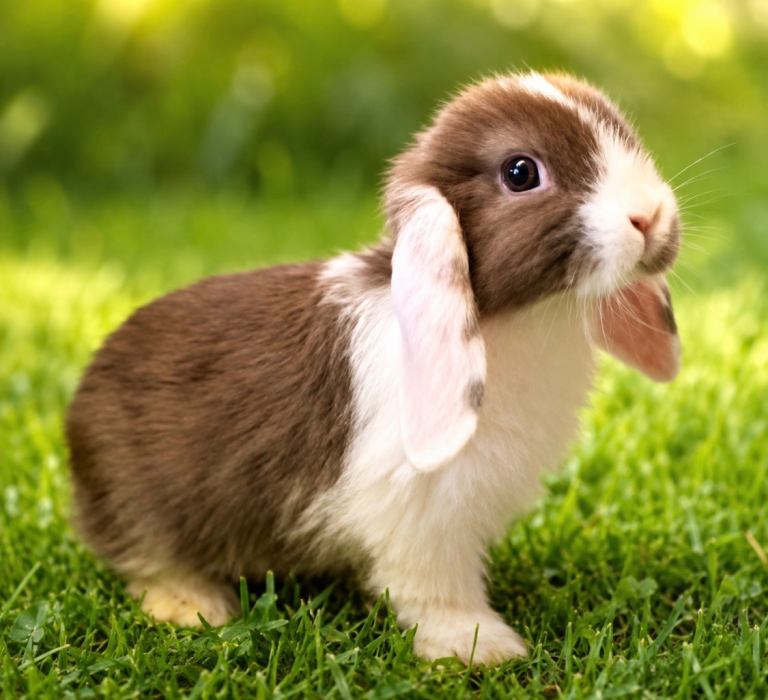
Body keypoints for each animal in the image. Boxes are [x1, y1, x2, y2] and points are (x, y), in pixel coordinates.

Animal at [67, 71, 682, 665]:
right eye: (520, 172)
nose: (650, 215)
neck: (515, 318)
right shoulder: (419, 507)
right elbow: (433, 586)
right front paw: (480, 646)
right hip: (140, 503)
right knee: (146, 558)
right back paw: (195, 606)